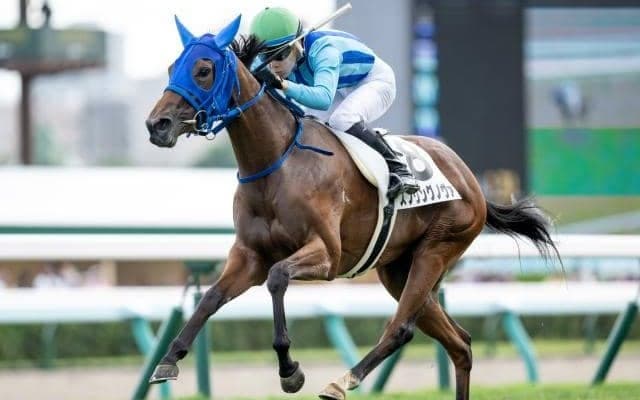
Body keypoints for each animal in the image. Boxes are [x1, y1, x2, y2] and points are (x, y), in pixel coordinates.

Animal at [145, 15, 559, 400]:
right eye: (171, 67)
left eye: (203, 70)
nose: (156, 125)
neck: (276, 162)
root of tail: (471, 180)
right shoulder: (249, 255)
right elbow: (211, 298)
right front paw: (168, 360)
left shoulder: (327, 254)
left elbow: (278, 277)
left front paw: (290, 370)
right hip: (398, 269)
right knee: (460, 343)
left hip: (437, 249)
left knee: (401, 328)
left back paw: (343, 380)